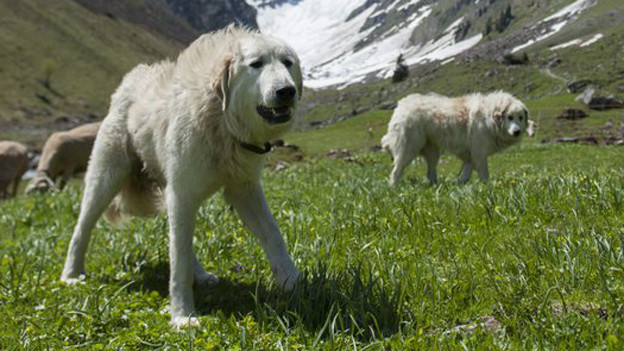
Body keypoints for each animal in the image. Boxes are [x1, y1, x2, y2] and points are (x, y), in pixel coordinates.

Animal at [59, 26, 304, 328]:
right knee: (82, 227)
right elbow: (179, 261)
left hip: (168, 191)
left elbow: (272, 232)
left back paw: (201, 274)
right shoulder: (184, 194)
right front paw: (182, 316)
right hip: (106, 180)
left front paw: (291, 280)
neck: (220, 118)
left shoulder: (242, 189)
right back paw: (71, 275)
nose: (287, 91)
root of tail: (129, 82)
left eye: (287, 63)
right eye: (256, 64)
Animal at [382, 92, 532, 187]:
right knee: (397, 170)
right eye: (510, 117)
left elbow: (466, 173)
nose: (517, 132)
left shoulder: (471, 155)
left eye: (520, 117)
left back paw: (435, 186)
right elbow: (484, 174)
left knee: (430, 171)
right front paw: (488, 188)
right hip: (408, 149)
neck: (490, 117)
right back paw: (394, 187)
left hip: (432, 152)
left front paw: (459, 184)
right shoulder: (479, 153)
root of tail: (401, 107)